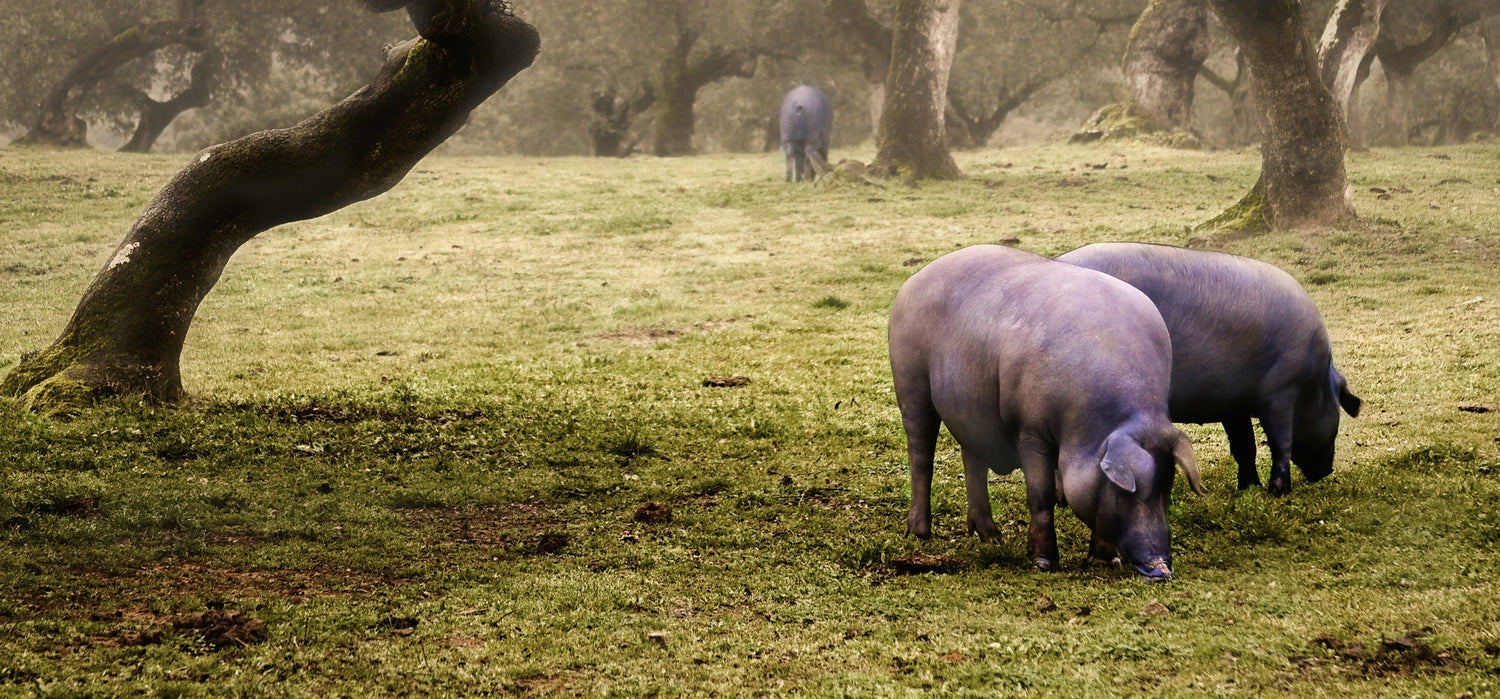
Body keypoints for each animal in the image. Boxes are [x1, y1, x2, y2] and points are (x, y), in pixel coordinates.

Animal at [889, 245, 1206, 579]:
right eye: (1127, 491)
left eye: (1166, 488)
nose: (1161, 569)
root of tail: (913, 281)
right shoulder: (1030, 431)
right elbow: (1040, 494)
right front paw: (1044, 562)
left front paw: (1105, 561)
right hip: (911, 387)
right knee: (921, 457)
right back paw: (919, 534)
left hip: (971, 409)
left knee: (973, 460)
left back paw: (992, 538)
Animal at [1057, 242, 1362, 495]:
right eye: (1337, 412)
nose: (1328, 471)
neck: (1316, 380)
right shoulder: (1281, 391)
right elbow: (1280, 442)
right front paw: (1278, 492)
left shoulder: (1234, 405)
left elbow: (1244, 447)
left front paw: (1248, 488)